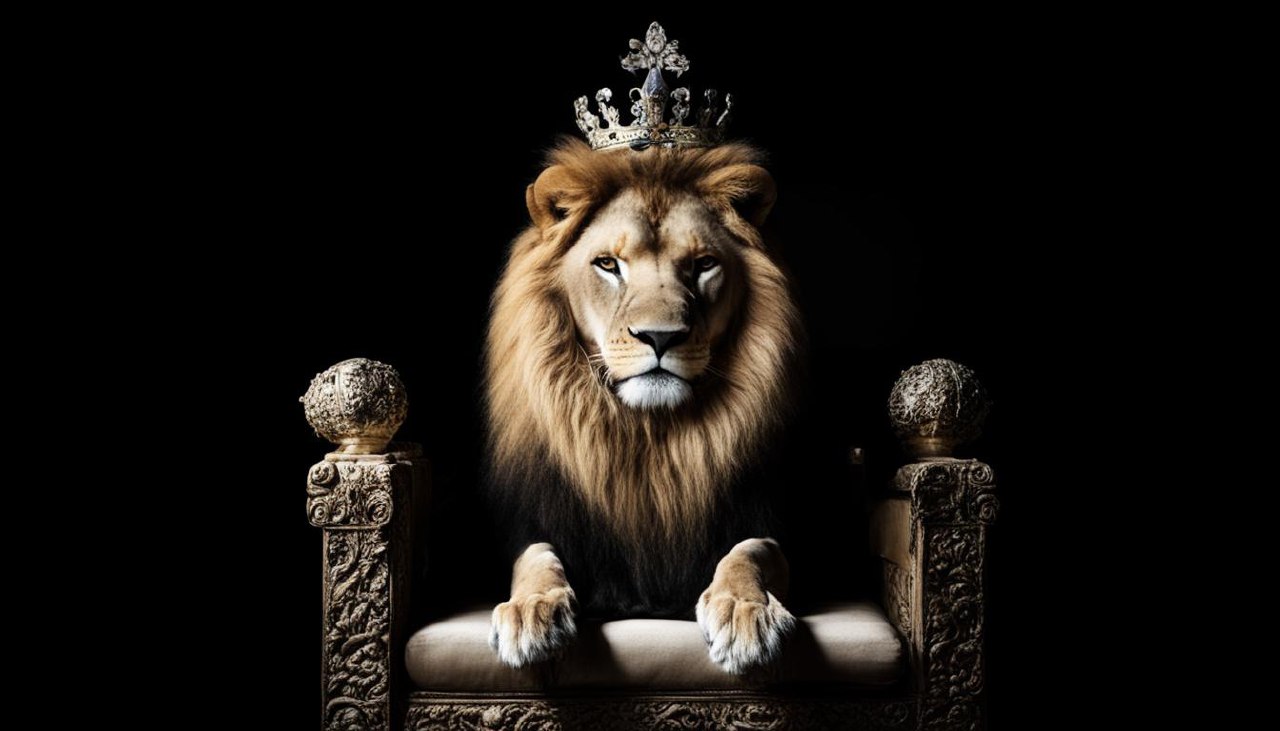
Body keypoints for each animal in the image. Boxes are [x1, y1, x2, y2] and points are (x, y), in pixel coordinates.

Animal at [483, 139, 803, 675]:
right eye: (609, 264)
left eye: (703, 264)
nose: (660, 337)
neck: (649, 438)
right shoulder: (538, 524)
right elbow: (535, 558)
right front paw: (531, 611)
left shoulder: (772, 519)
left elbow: (751, 551)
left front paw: (743, 612)